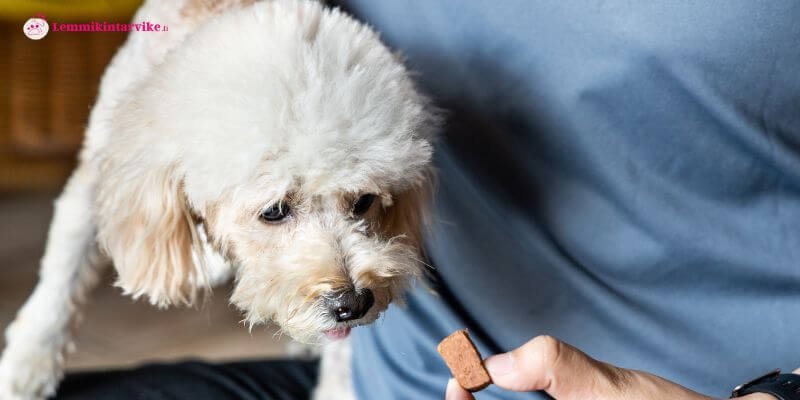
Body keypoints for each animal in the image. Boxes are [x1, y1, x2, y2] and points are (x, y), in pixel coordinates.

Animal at [0, 1, 438, 398]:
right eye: (274, 211)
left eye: (364, 201)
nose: (354, 302)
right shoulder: (100, 173)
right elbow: (64, 273)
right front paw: (26, 367)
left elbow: (345, 355)